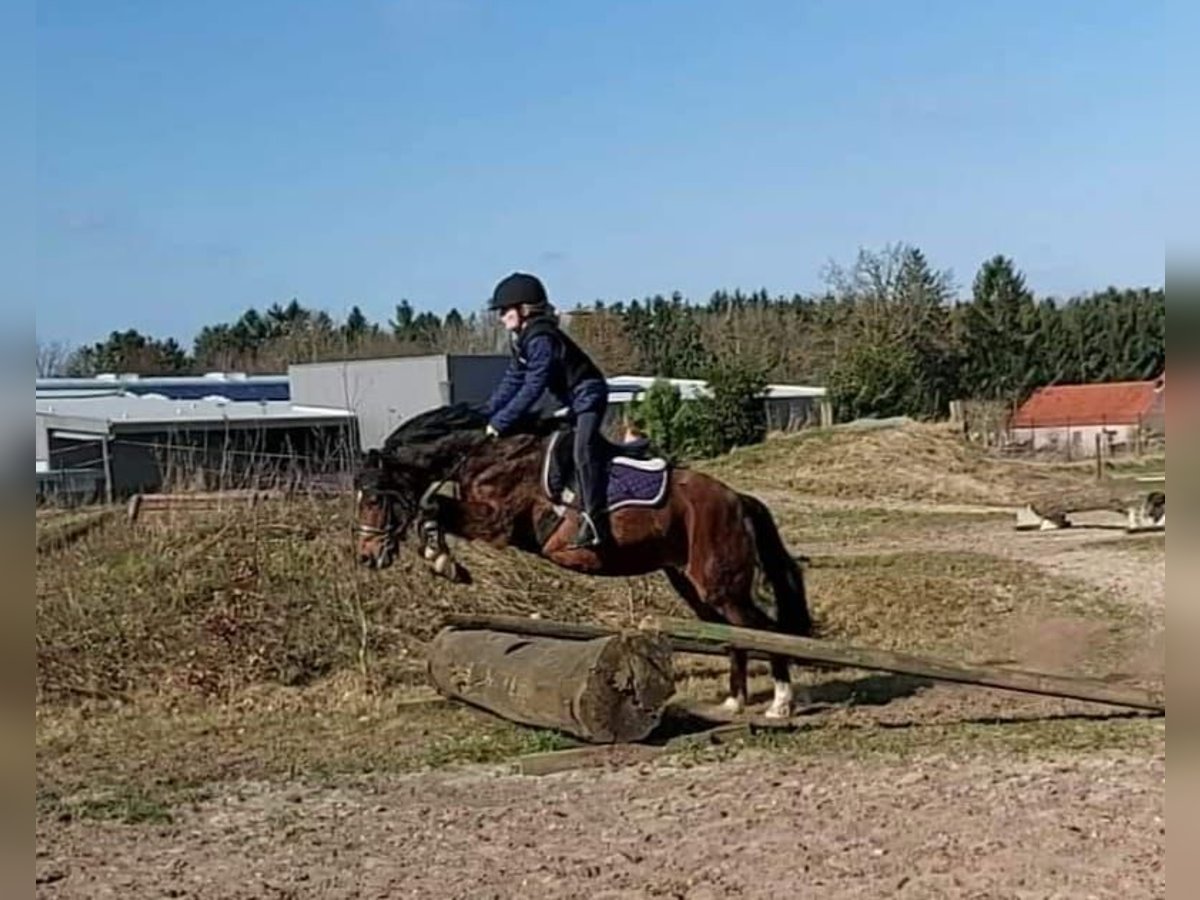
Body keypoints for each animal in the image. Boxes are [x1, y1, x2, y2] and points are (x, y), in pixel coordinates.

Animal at [350, 400, 811, 720]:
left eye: (373, 498)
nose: (366, 556)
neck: (483, 454)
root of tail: (737, 499)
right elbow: (432, 508)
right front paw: (439, 558)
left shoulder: (497, 523)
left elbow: (433, 507)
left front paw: (441, 559)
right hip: (691, 585)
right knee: (735, 634)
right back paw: (734, 703)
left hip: (720, 584)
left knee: (763, 630)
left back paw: (780, 703)